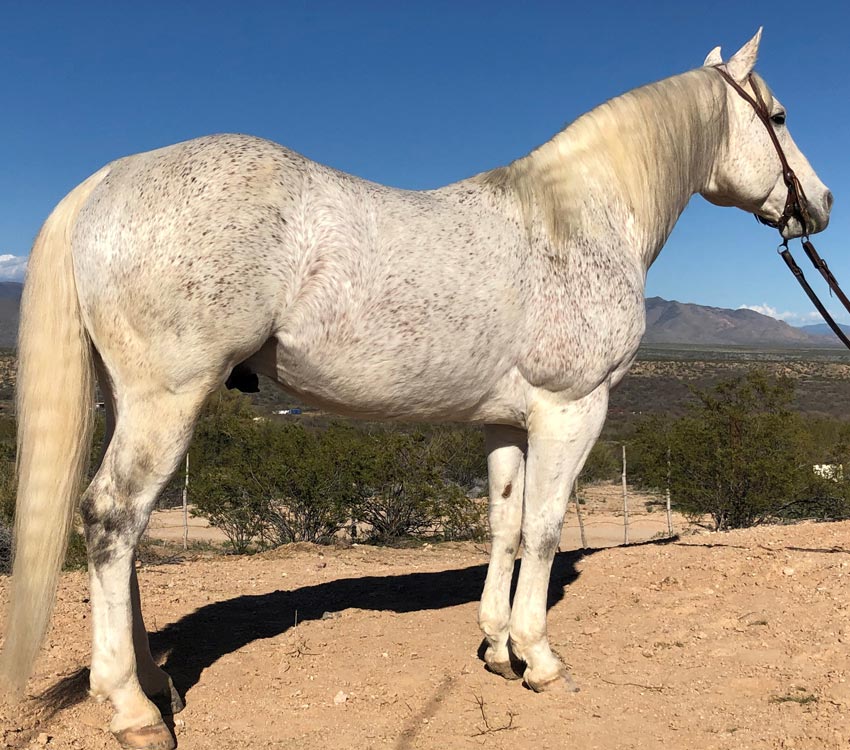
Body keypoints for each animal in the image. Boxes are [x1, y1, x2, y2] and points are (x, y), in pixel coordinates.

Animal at [0, 29, 828, 750]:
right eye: (781, 116)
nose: (818, 204)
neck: (574, 218)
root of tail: (107, 180)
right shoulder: (573, 409)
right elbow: (546, 530)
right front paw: (540, 659)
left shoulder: (506, 423)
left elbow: (504, 526)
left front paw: (496, 648)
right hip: (166, 399)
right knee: (112, 518)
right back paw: (134, 710)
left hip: (127, 401)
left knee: (127, 535)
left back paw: (156, 685)